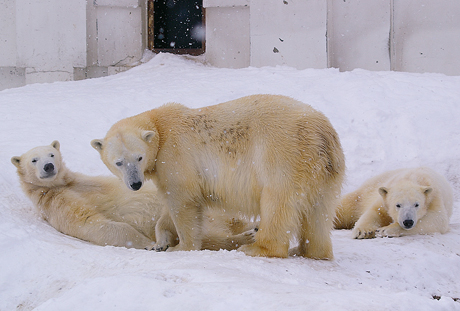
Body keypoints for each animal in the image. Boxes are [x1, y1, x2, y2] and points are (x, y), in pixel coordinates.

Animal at [11, 141, 255, 251]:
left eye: (51, 154)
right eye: (34, 159)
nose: (49, 166)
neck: (61, 184)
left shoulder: (87, 181)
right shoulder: (54, 201)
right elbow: (91, 223)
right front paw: (150, 244)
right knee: (208, 234)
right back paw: (247, 235)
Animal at [91, 94, 344, 260]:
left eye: (139, 157)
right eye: (119, 162)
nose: (135, 184)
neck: (160, 127)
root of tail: (321, 134)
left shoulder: (175, 155)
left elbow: (182, 201)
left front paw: (181, 247)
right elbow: (169, 208)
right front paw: (159, 243)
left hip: (284, 156)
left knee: (277, 203)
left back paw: (258, 248)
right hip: (325, 169)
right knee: (320, 212)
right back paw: (308, 251)